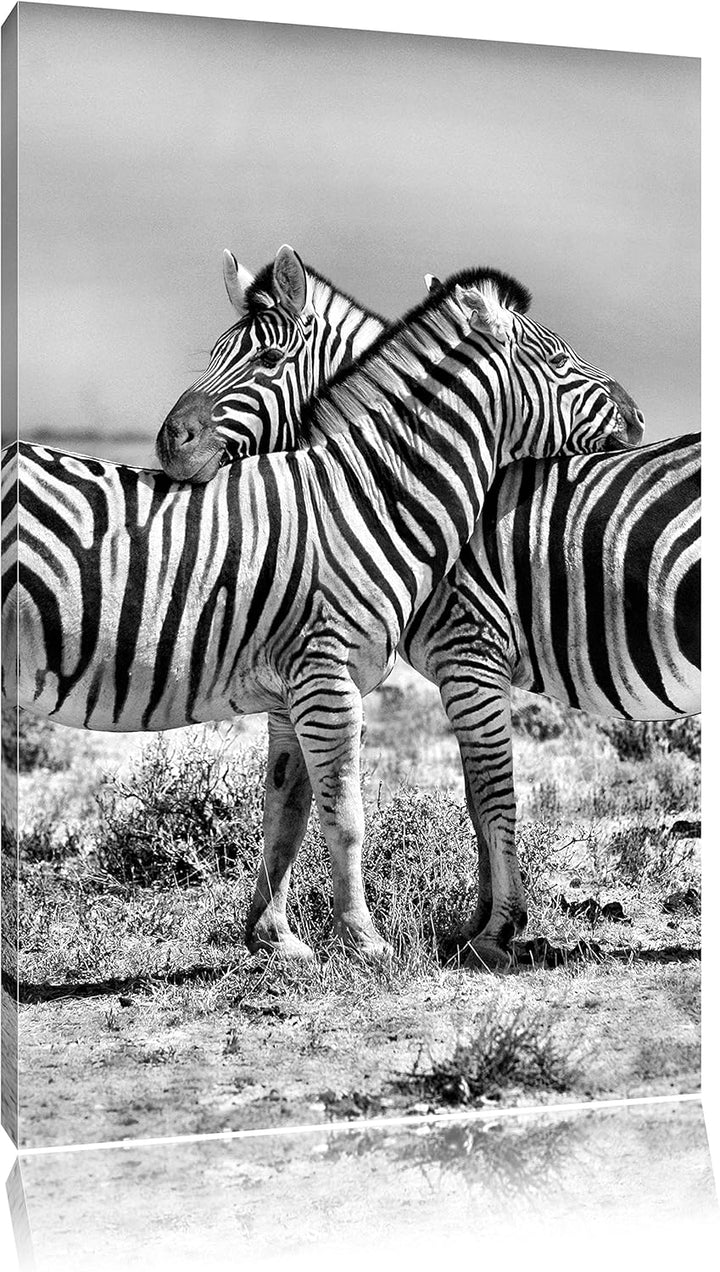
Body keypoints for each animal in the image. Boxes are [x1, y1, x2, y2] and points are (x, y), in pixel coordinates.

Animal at [2, 250, 643, 962]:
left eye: (268, 358)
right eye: (559, 361)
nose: (636, 414)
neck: (368, 497)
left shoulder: (305, 687)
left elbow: (290, 809)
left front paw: (277, 937)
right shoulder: (340, 677)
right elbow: (352, 814)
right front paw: (368, 943)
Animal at [157, 249, 696, 968]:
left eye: (267, 359)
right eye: (214, 354)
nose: (169, 442)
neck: (384, 486)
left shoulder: (469, 652)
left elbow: (490, 794)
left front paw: (497, 931)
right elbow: (449, 794)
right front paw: (478, 925)